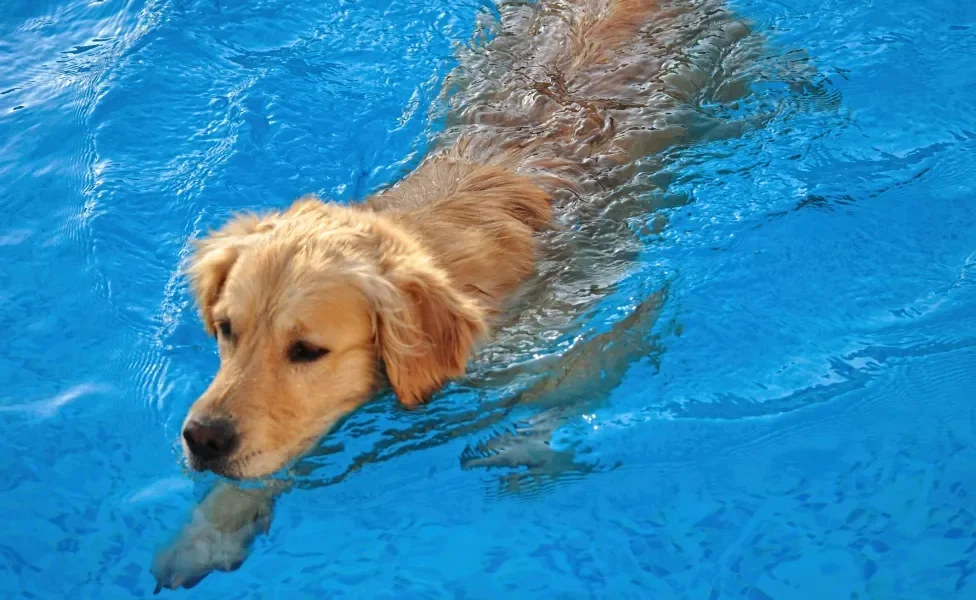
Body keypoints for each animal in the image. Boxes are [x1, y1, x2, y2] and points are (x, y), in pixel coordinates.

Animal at [152, 0, 824, 592]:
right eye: (226, 329)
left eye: (307, 351)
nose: (202, 440)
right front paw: (209, 530)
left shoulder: (600, 311)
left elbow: (569, 382)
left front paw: (520, 444)